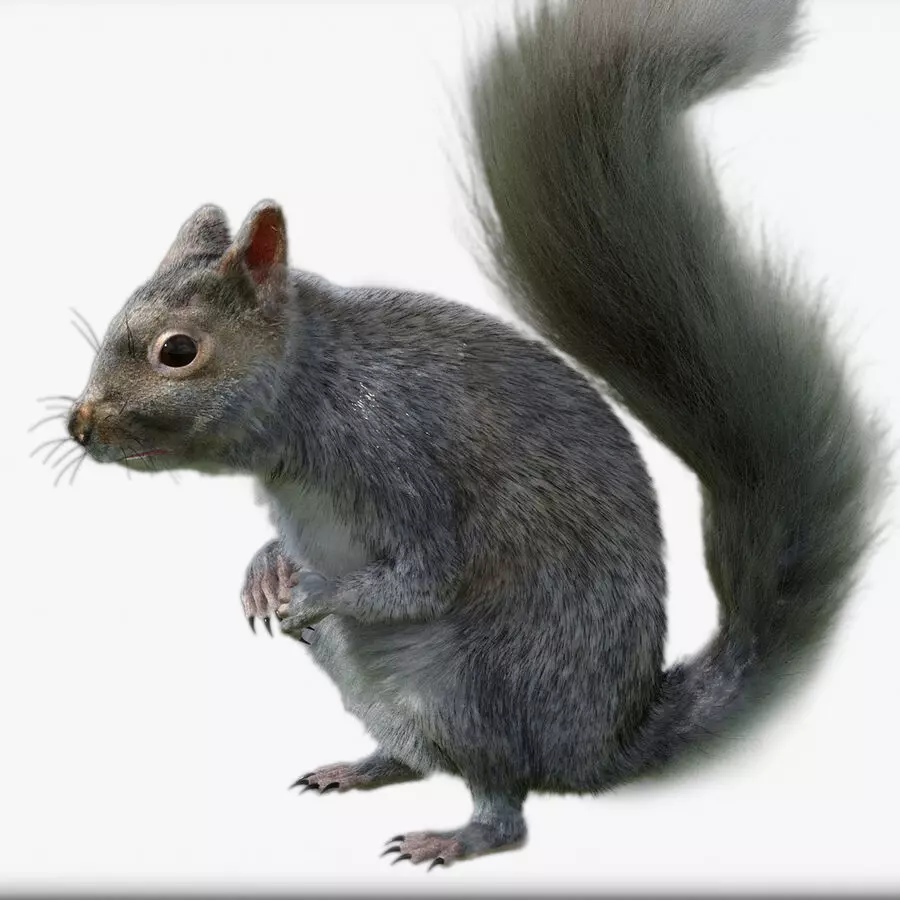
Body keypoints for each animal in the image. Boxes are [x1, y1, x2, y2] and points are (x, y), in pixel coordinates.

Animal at [57, 0, 885, 870]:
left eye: (178, 351)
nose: (79, 424)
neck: (317, 387)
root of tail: (602, 749)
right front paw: (263, 572)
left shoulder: (400, 454)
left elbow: (425, 576)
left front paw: (314, 590)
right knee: (419, 760)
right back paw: (361, 767)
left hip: (473, 686)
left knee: (504, 803)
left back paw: (454, 838)